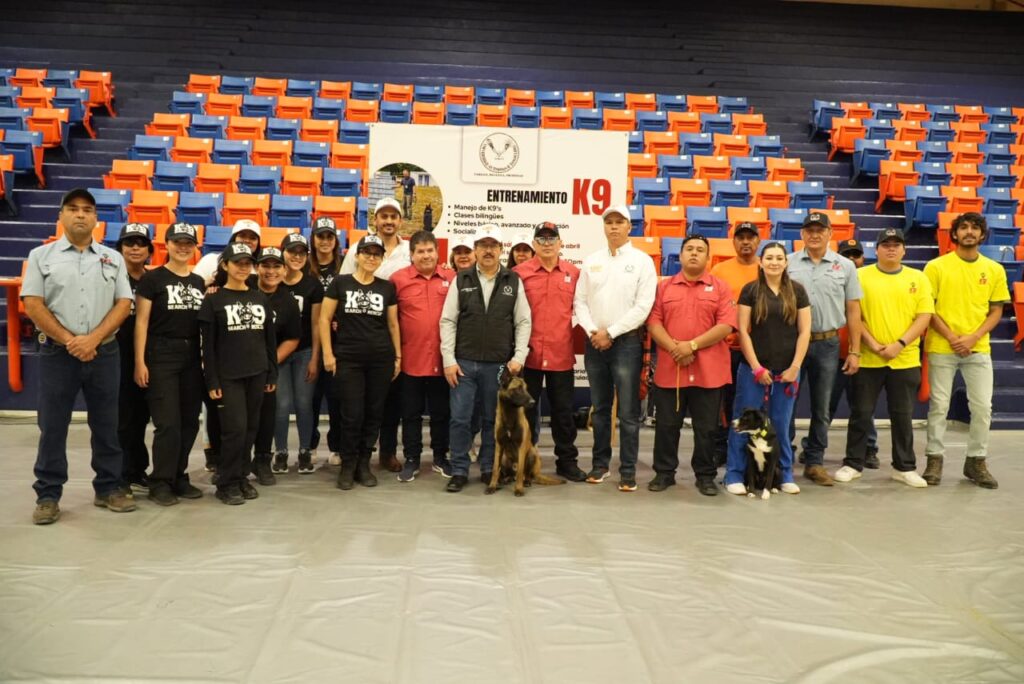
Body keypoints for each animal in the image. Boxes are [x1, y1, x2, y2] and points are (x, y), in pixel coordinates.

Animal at [489, 368, 569, 497]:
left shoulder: (521, 448)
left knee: (526, 474)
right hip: (505, 457)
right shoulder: (499, 446)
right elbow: (495, 468)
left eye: (526, 388)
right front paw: (492, 486)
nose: (533, 402)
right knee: (512, 473)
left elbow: (520, 472)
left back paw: (526, 482)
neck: (510, 415)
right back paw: (507, 478)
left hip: (532, 454)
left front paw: (518, 489)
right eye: (518, 389)